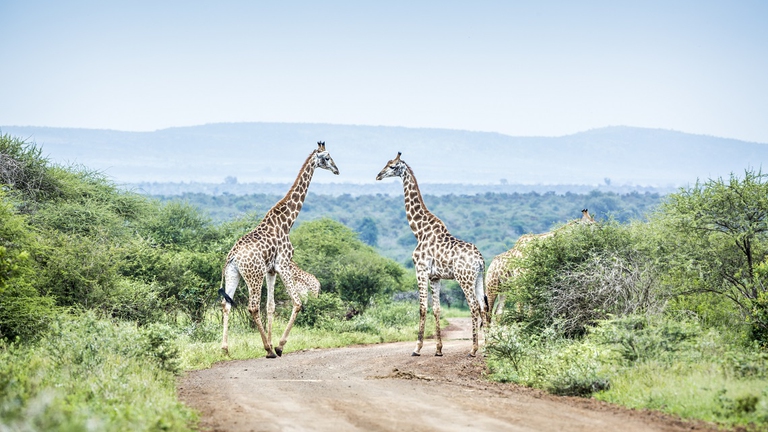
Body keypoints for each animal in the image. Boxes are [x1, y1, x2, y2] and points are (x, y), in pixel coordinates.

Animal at [218, 142, 338, 357]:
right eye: (326, 157)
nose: (336, 170)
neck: (287, 222)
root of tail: (232, 256)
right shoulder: (283, 264)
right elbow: (297, 303)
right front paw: (278, 346)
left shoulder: (271, 270)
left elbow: (271, 306)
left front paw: (273, 342)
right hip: (254, 275)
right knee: (252, 307)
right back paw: (268, 349)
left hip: (234, 274)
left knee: (227, 304)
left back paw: (225, 349)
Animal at [376, 152, 486, 357]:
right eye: (387, 163)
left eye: (393, 166)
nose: (378, 175)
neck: (419, 231)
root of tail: (480, 260)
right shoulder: (435, 277)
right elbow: (436, 309)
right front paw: (438, 349)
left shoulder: (420, 270)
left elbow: (422, 307)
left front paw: (417, 348)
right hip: (478, 279)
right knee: (483, 307)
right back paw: (488, 347)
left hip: (464, 278)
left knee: (474, 307)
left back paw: (474, 349)